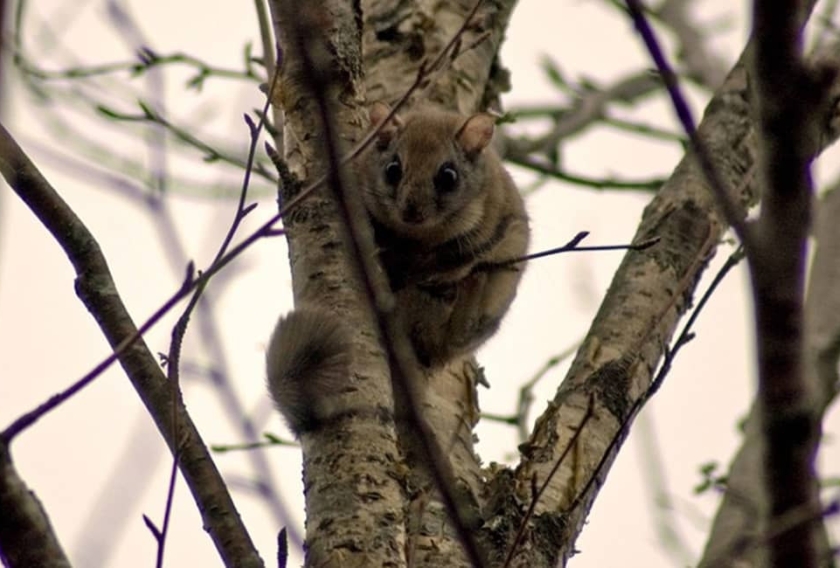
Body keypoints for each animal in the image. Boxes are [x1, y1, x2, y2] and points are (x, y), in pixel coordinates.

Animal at [268, 102, 532, 432]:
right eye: (393, 169)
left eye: (449, 176)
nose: (411, 212)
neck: (417, 236)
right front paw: (387, 254)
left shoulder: (486, 234)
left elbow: (452, 262)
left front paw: (431, 272)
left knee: (458, 333)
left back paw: (469, 288)